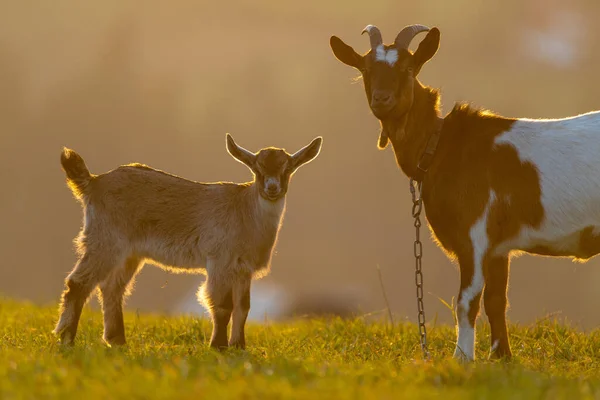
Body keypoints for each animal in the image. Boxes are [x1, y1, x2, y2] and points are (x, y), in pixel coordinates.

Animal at [55, 133, 324, 348]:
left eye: (287, 169)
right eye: (257, 170)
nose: (272, 188)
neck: (245, 211)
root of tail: (93, 182)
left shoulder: (243, 268)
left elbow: (244, 307)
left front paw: (239, 347)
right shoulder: (220, 260)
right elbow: (222, 305)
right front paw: (218, 347)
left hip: (129, 253)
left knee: (111, 288)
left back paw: (118, 341)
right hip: (105, 240)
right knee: (78, 283)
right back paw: (66, 340)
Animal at [330, 23, 600, 360]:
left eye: (408, 68)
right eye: (366, 69)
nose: (382, 98)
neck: (441, 146)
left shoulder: (474, 235)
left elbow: (466, 301)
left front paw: (462, 358)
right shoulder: (498, 247)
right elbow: (496, 301)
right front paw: (501, 357)